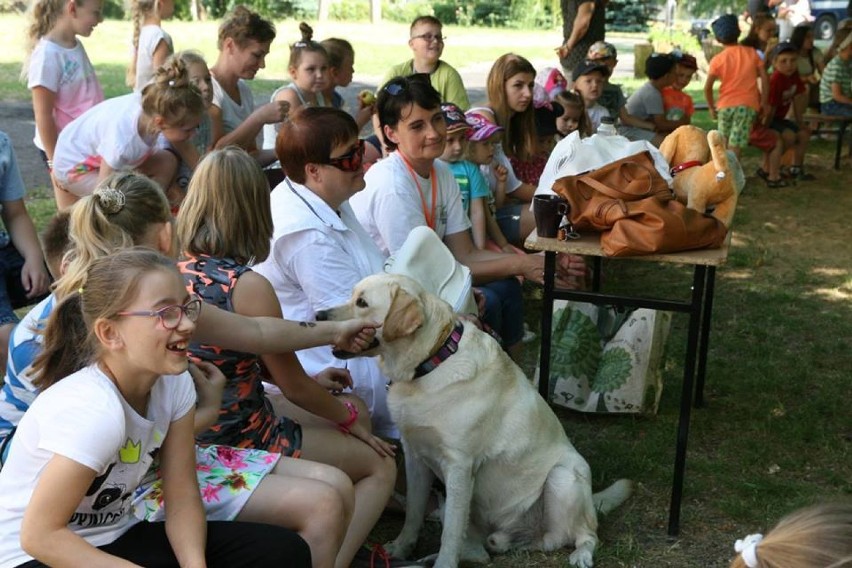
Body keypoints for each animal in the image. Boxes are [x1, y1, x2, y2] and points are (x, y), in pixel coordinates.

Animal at [316, 272, 628, 564]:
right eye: (352, 295)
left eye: (362, 302)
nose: (319, 316)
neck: (431, 362)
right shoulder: (415, 456)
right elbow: (414, 513)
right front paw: (400, 548)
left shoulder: (459, 467)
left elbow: (451, 533)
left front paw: (443, 563)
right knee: (490, 549)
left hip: (563, 477)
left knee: (583, 535)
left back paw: (581, 554)